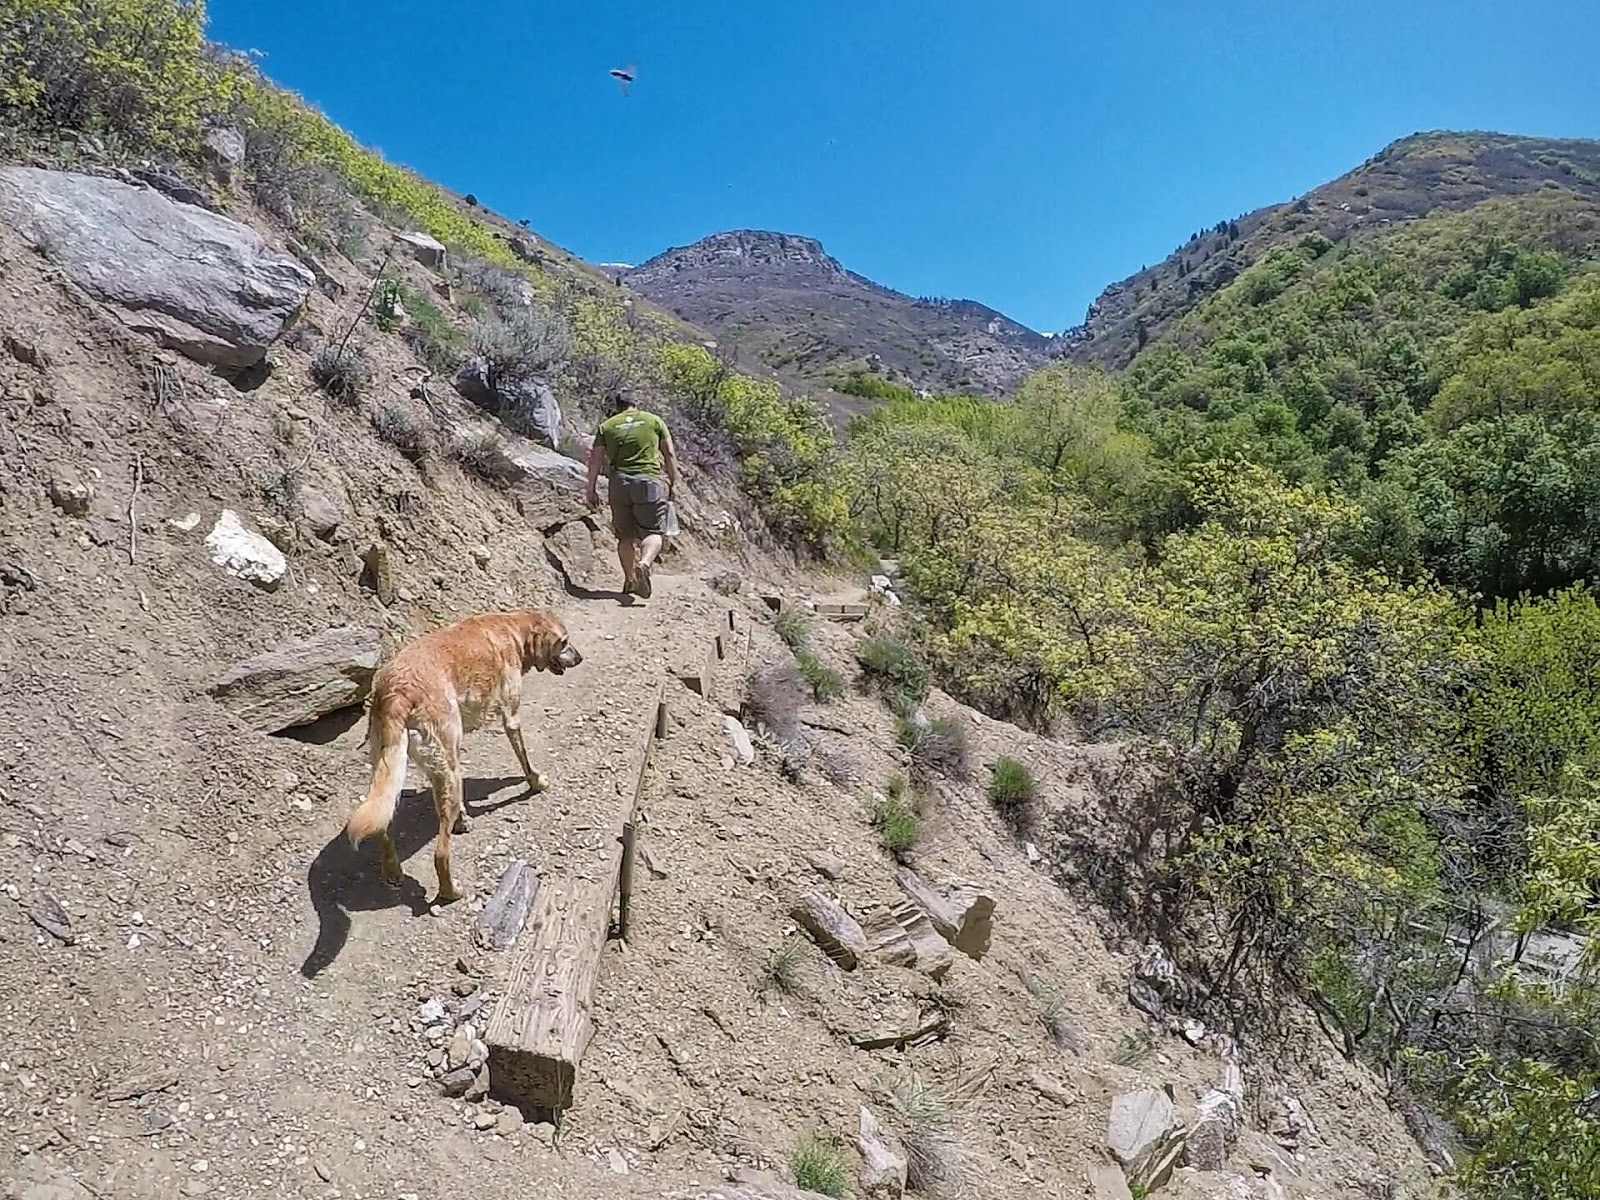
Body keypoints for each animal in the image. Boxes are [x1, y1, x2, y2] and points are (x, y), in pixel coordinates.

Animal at [344, 611, 582, 902]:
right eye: (564, 641)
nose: (580, 658)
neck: (513, 628)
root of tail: (397, 693)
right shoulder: (511, 718)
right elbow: (525, 759)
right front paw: (535, 782)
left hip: (391, 770)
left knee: (383, 821)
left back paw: (393, 870)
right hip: (449, 769)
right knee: (440, 853)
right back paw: (450, 890)